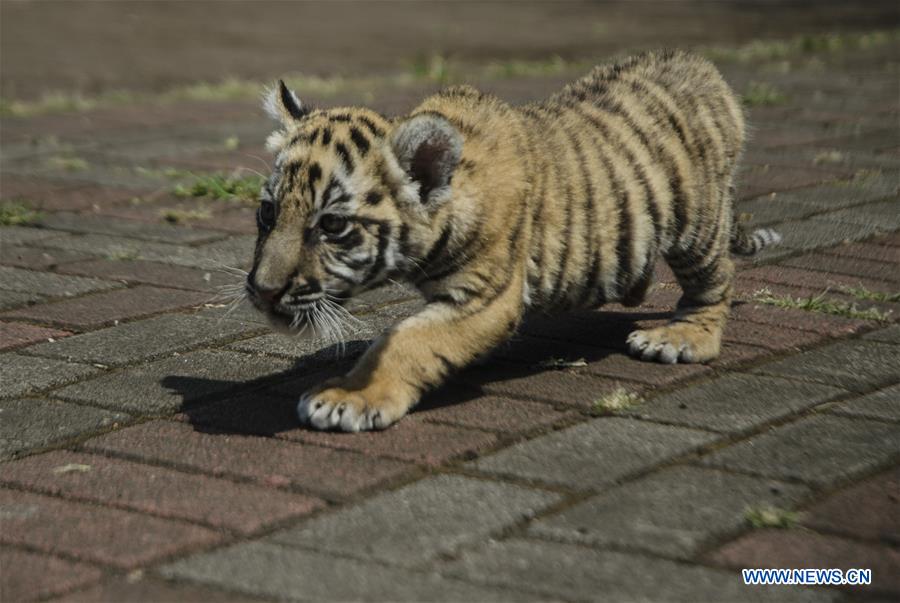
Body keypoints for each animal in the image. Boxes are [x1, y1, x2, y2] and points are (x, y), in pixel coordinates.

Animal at [246, 50, 781, 432]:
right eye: (269, 212)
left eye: (333, 226)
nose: (263, 292)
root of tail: (702, 66)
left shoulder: (488, 297)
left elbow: (404, 341)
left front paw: (348, 399)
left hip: (696, 221)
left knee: (714, 281)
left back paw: (680, 338)